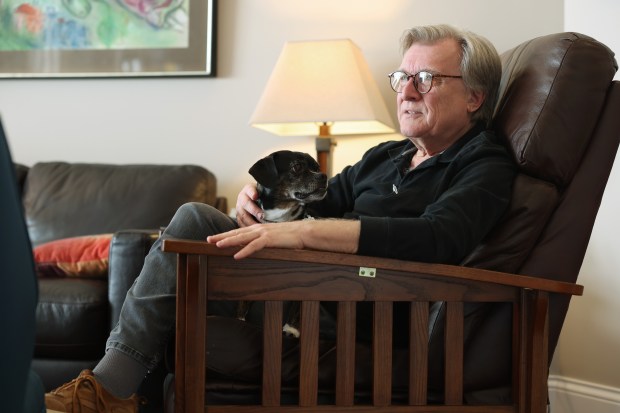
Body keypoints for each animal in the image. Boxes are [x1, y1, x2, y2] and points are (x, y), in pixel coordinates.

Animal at [235, 150, 326, 336]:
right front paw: (239, 318)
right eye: (297, 166)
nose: (324, 175)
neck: (279, 219)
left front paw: (291, 328)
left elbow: (300, 302)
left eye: (317, 167)